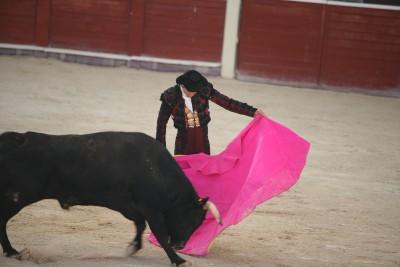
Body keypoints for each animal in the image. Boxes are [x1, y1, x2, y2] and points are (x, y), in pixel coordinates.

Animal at [0, 131, 220, 266]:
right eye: (192, 219)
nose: (181, 246)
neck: (156, 170)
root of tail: (15, 140)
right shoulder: (151, 208)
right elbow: (160, 233)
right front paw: (179, 260)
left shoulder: (132, 206)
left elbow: (140, 225)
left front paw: (132, 248)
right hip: (17, 197)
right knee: (2, 220)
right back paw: (12, 251)